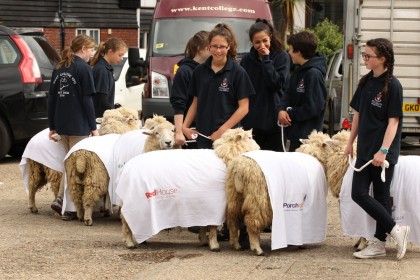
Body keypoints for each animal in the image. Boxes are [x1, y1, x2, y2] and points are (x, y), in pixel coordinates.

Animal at [115, 128, 260, 253]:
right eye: (249, 137)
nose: (259, 148)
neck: (225, 157)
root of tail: (126, 168)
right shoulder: (214, 202)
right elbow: (213, 226)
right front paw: (214, 245)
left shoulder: (204, 204)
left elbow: (204, 224)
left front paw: (203, 240)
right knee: (126, 221)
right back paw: (130, 243)